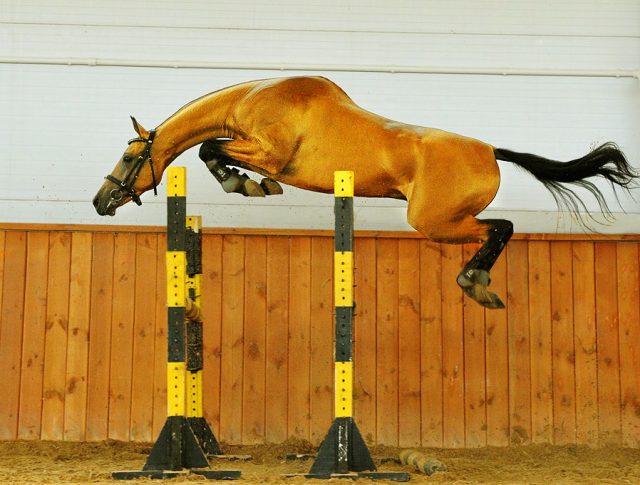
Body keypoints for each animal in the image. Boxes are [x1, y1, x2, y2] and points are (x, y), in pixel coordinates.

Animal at [92, 77, 636, 308]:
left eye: (128, 158)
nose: (100, 201)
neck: (254, 99)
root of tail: (491, 151)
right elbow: (213, 149)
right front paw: (248, 183)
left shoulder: (269, 152)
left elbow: (210, 149)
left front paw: (246, 184)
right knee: (501, 228)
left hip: (434, 222)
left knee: (501, 226)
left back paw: (475, 281)